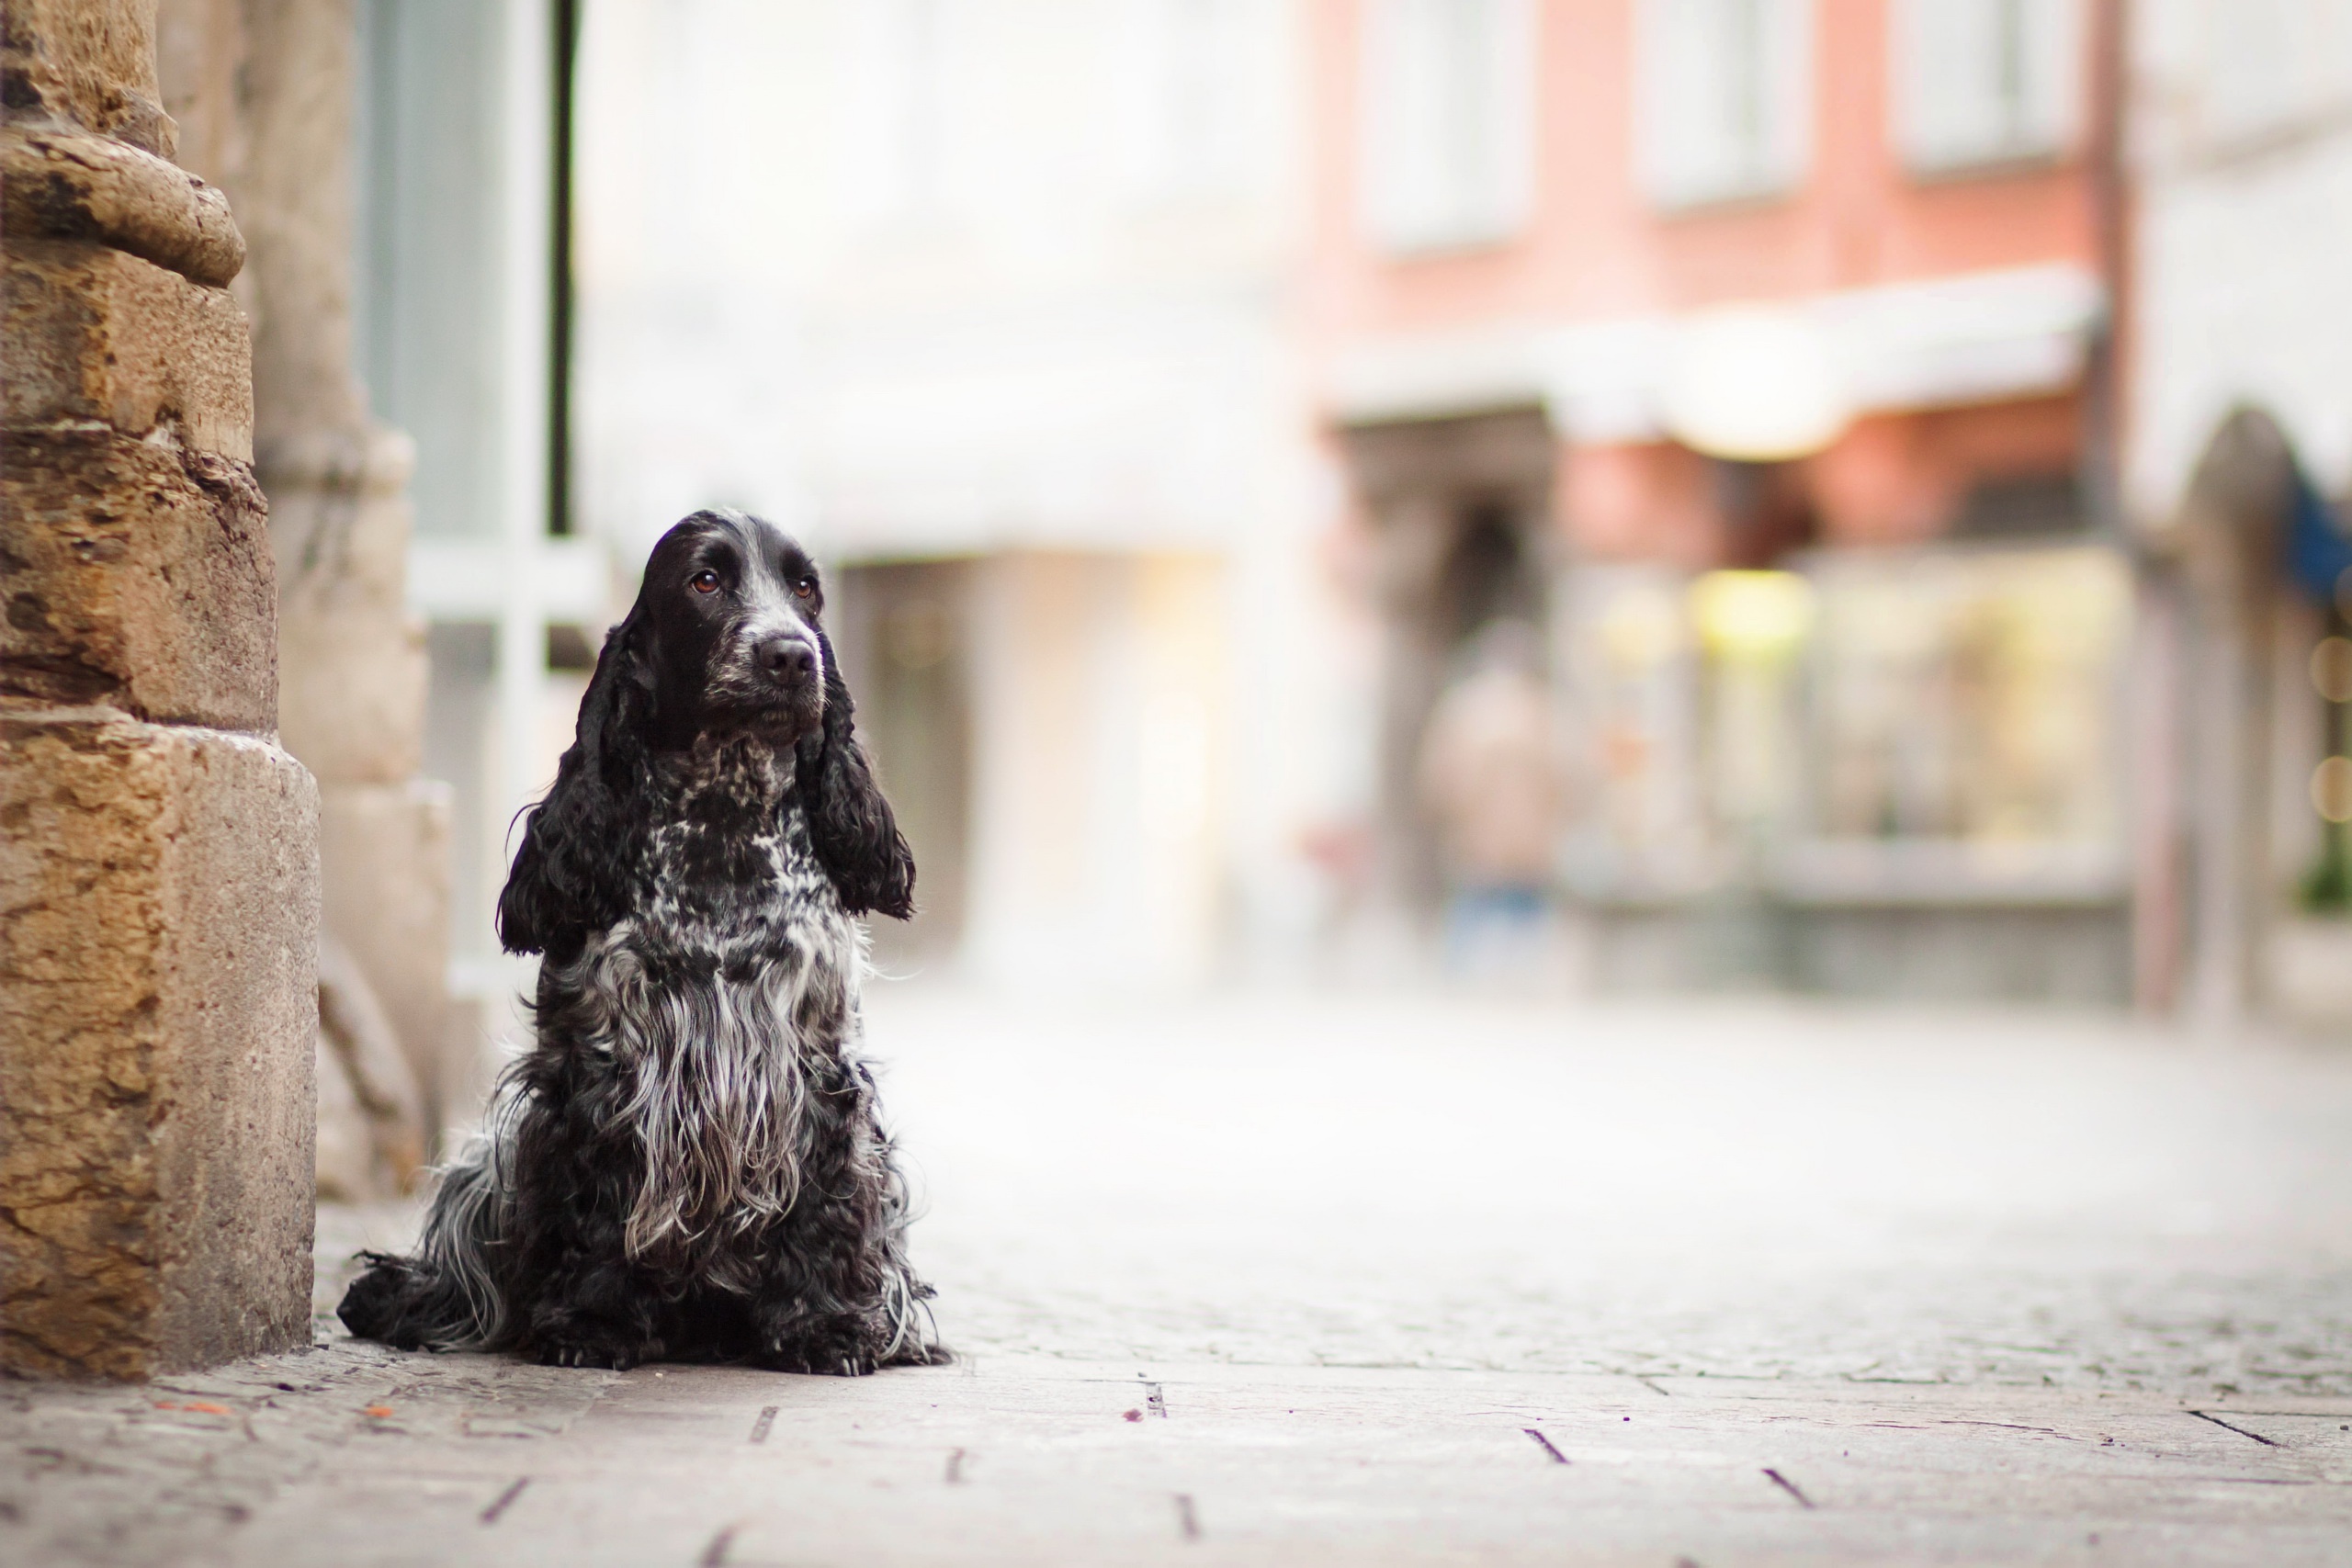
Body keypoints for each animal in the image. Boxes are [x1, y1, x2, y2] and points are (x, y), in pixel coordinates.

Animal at [341, 512, 945, 1372]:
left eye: (806, 589)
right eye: (705, 581)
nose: (792, 655)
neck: (722, 828)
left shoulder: (818, 1065)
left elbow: (824, 1206)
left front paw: (827, 1327)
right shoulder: (598, 1066)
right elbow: (596, 1203)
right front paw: (592, 1323)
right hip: (486, 1162)